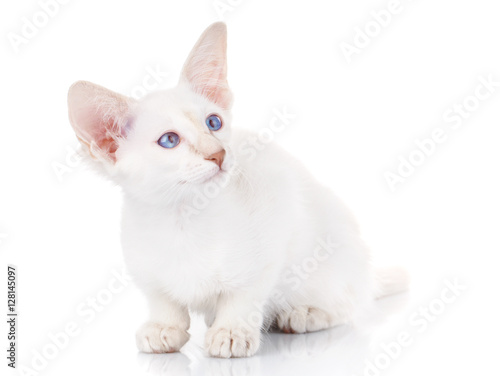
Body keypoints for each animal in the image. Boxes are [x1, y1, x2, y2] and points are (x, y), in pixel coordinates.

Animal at [68, 22, 408, 356]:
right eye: (169, 140)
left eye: (214, 122)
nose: (218, 154)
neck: (184, 220)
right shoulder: (146, 271)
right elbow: (163, 299)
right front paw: (164, 326)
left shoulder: (275, 228)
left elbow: (243, 295)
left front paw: (231, 331)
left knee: (349, 301)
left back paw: (305, 313)